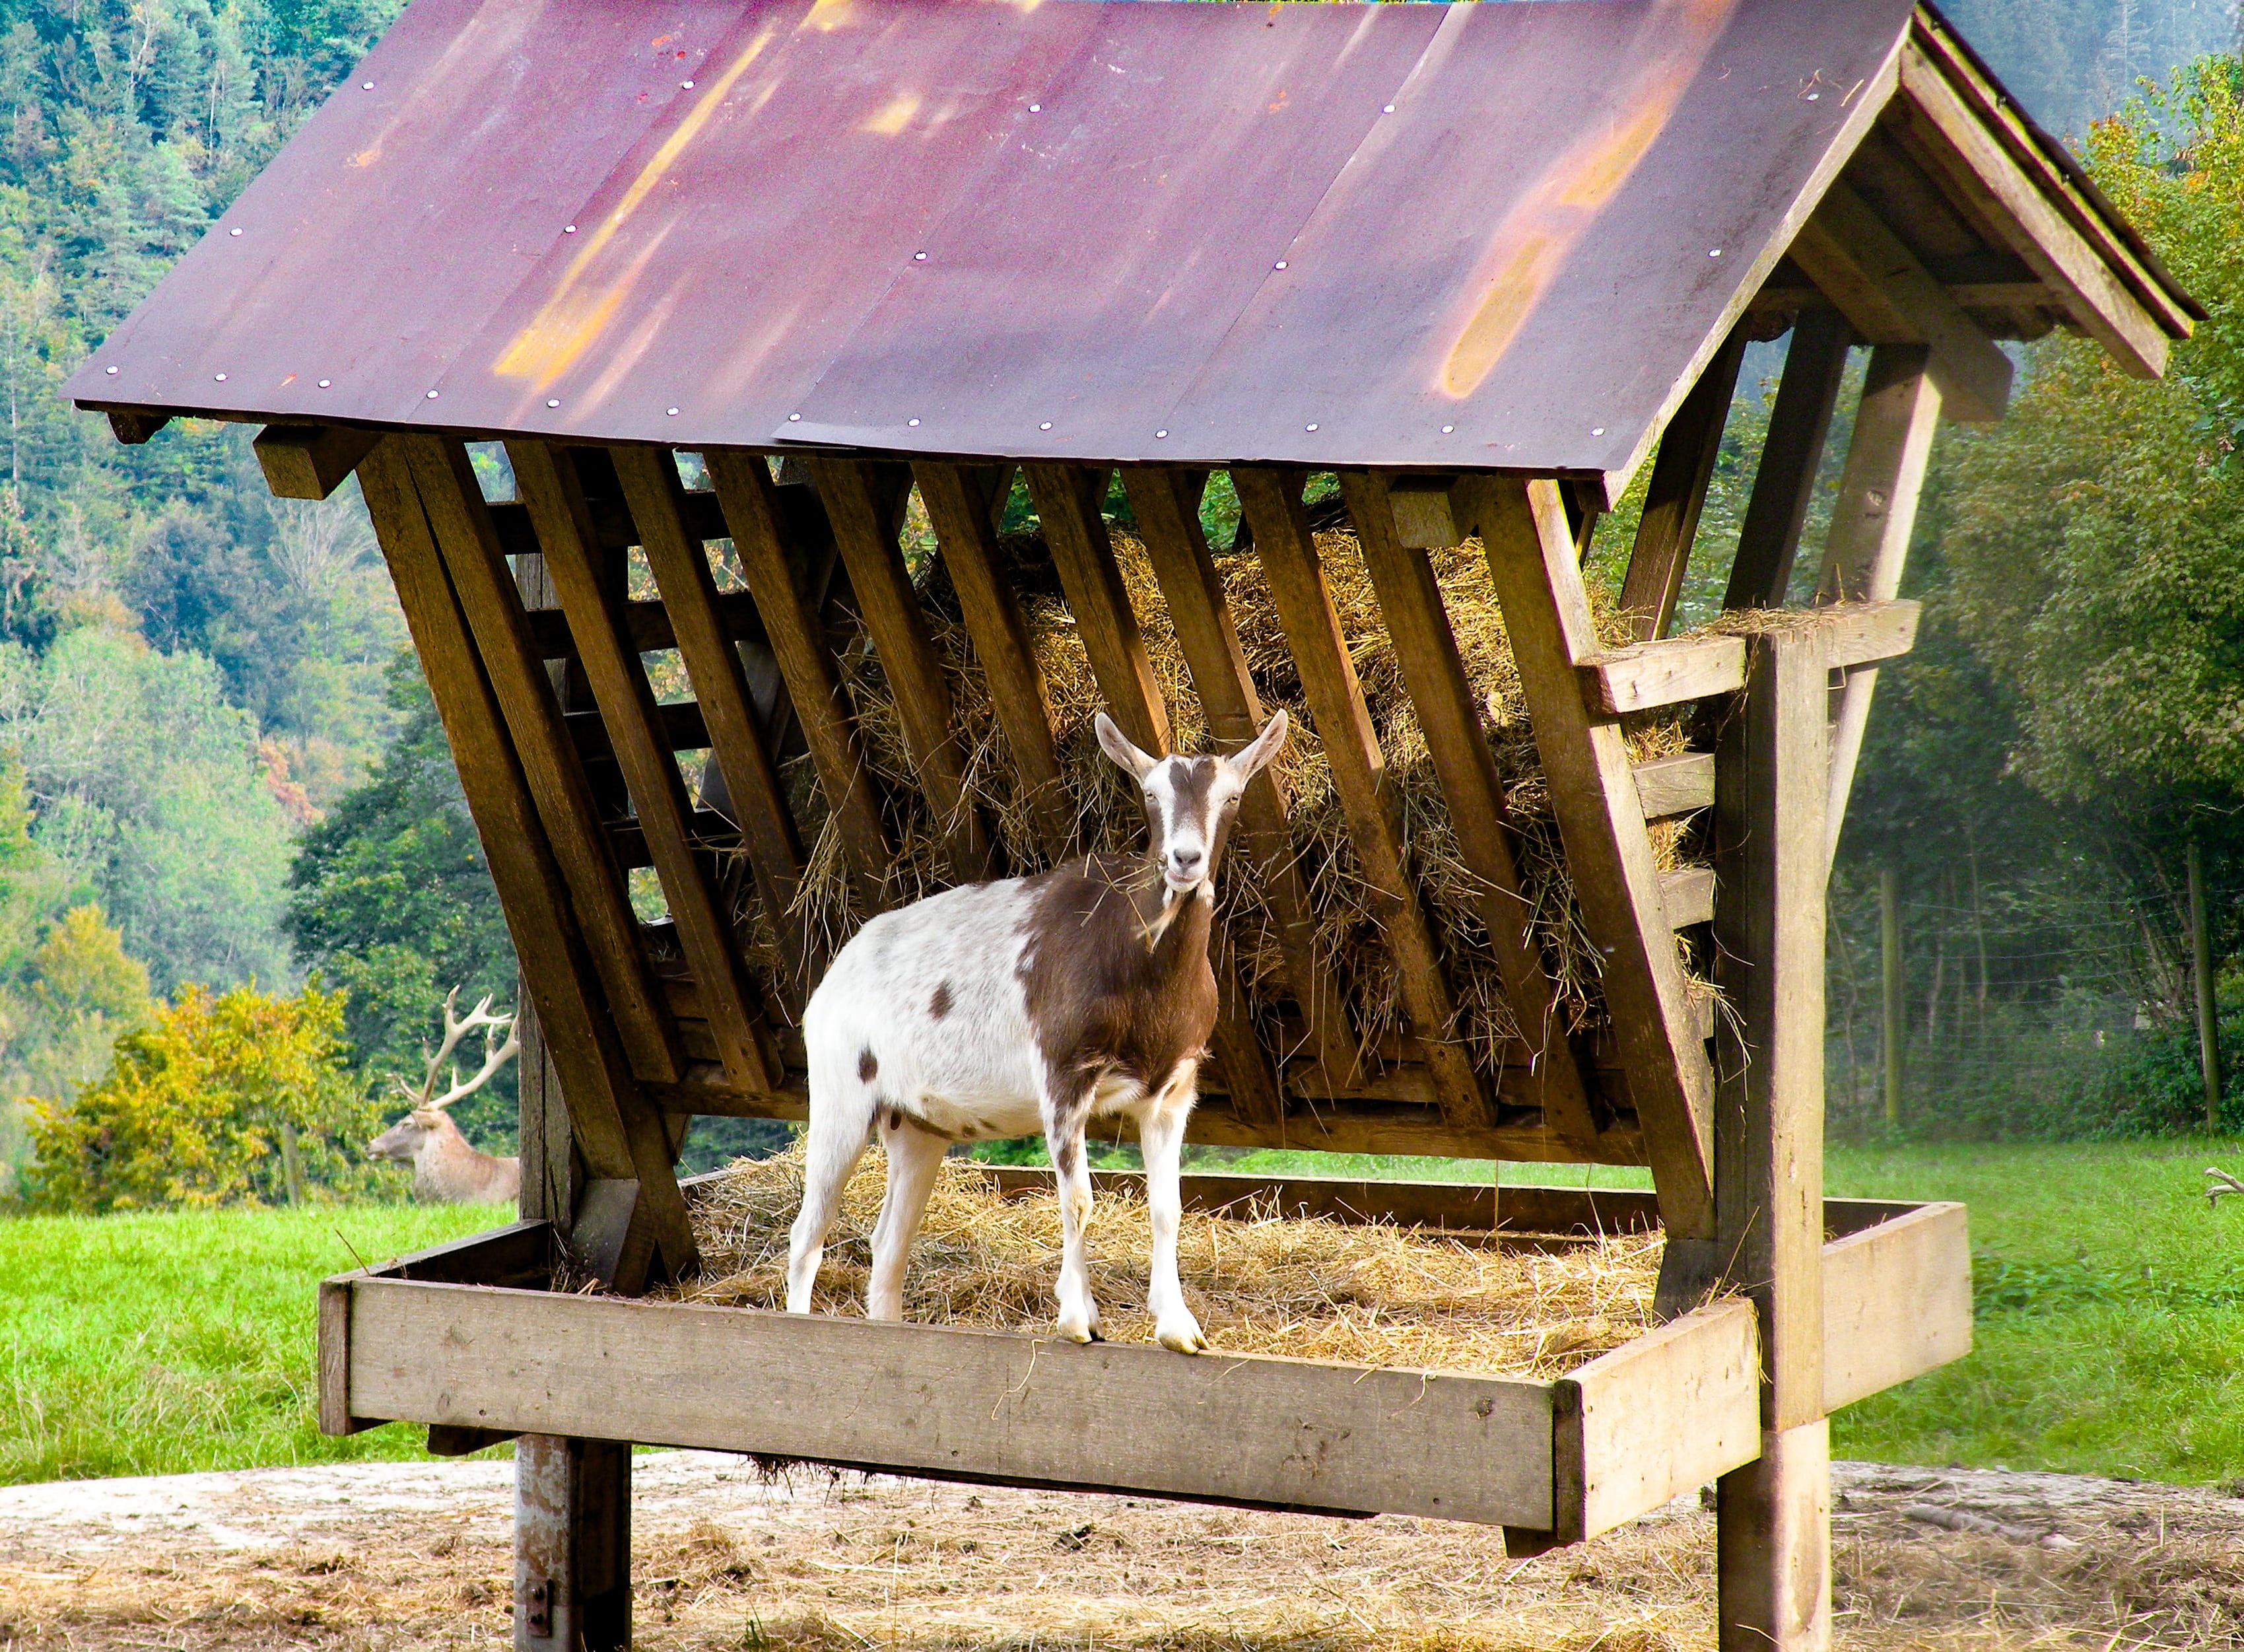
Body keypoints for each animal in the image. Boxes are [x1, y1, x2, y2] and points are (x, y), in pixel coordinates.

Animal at [788, 709, 1289, 1353]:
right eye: (1150, 793)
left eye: (1231, 796)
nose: (1184, 860)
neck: (1135, 965)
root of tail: (832, 978)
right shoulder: (1062, 1074)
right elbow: (1077, 1200)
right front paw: (1078, 1321)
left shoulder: (1172, 1090)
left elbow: (1168, 1208)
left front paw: (1178, 1328)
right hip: (839, 1091)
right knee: (809, 1231)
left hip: (916, 1126)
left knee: (888, 1242)